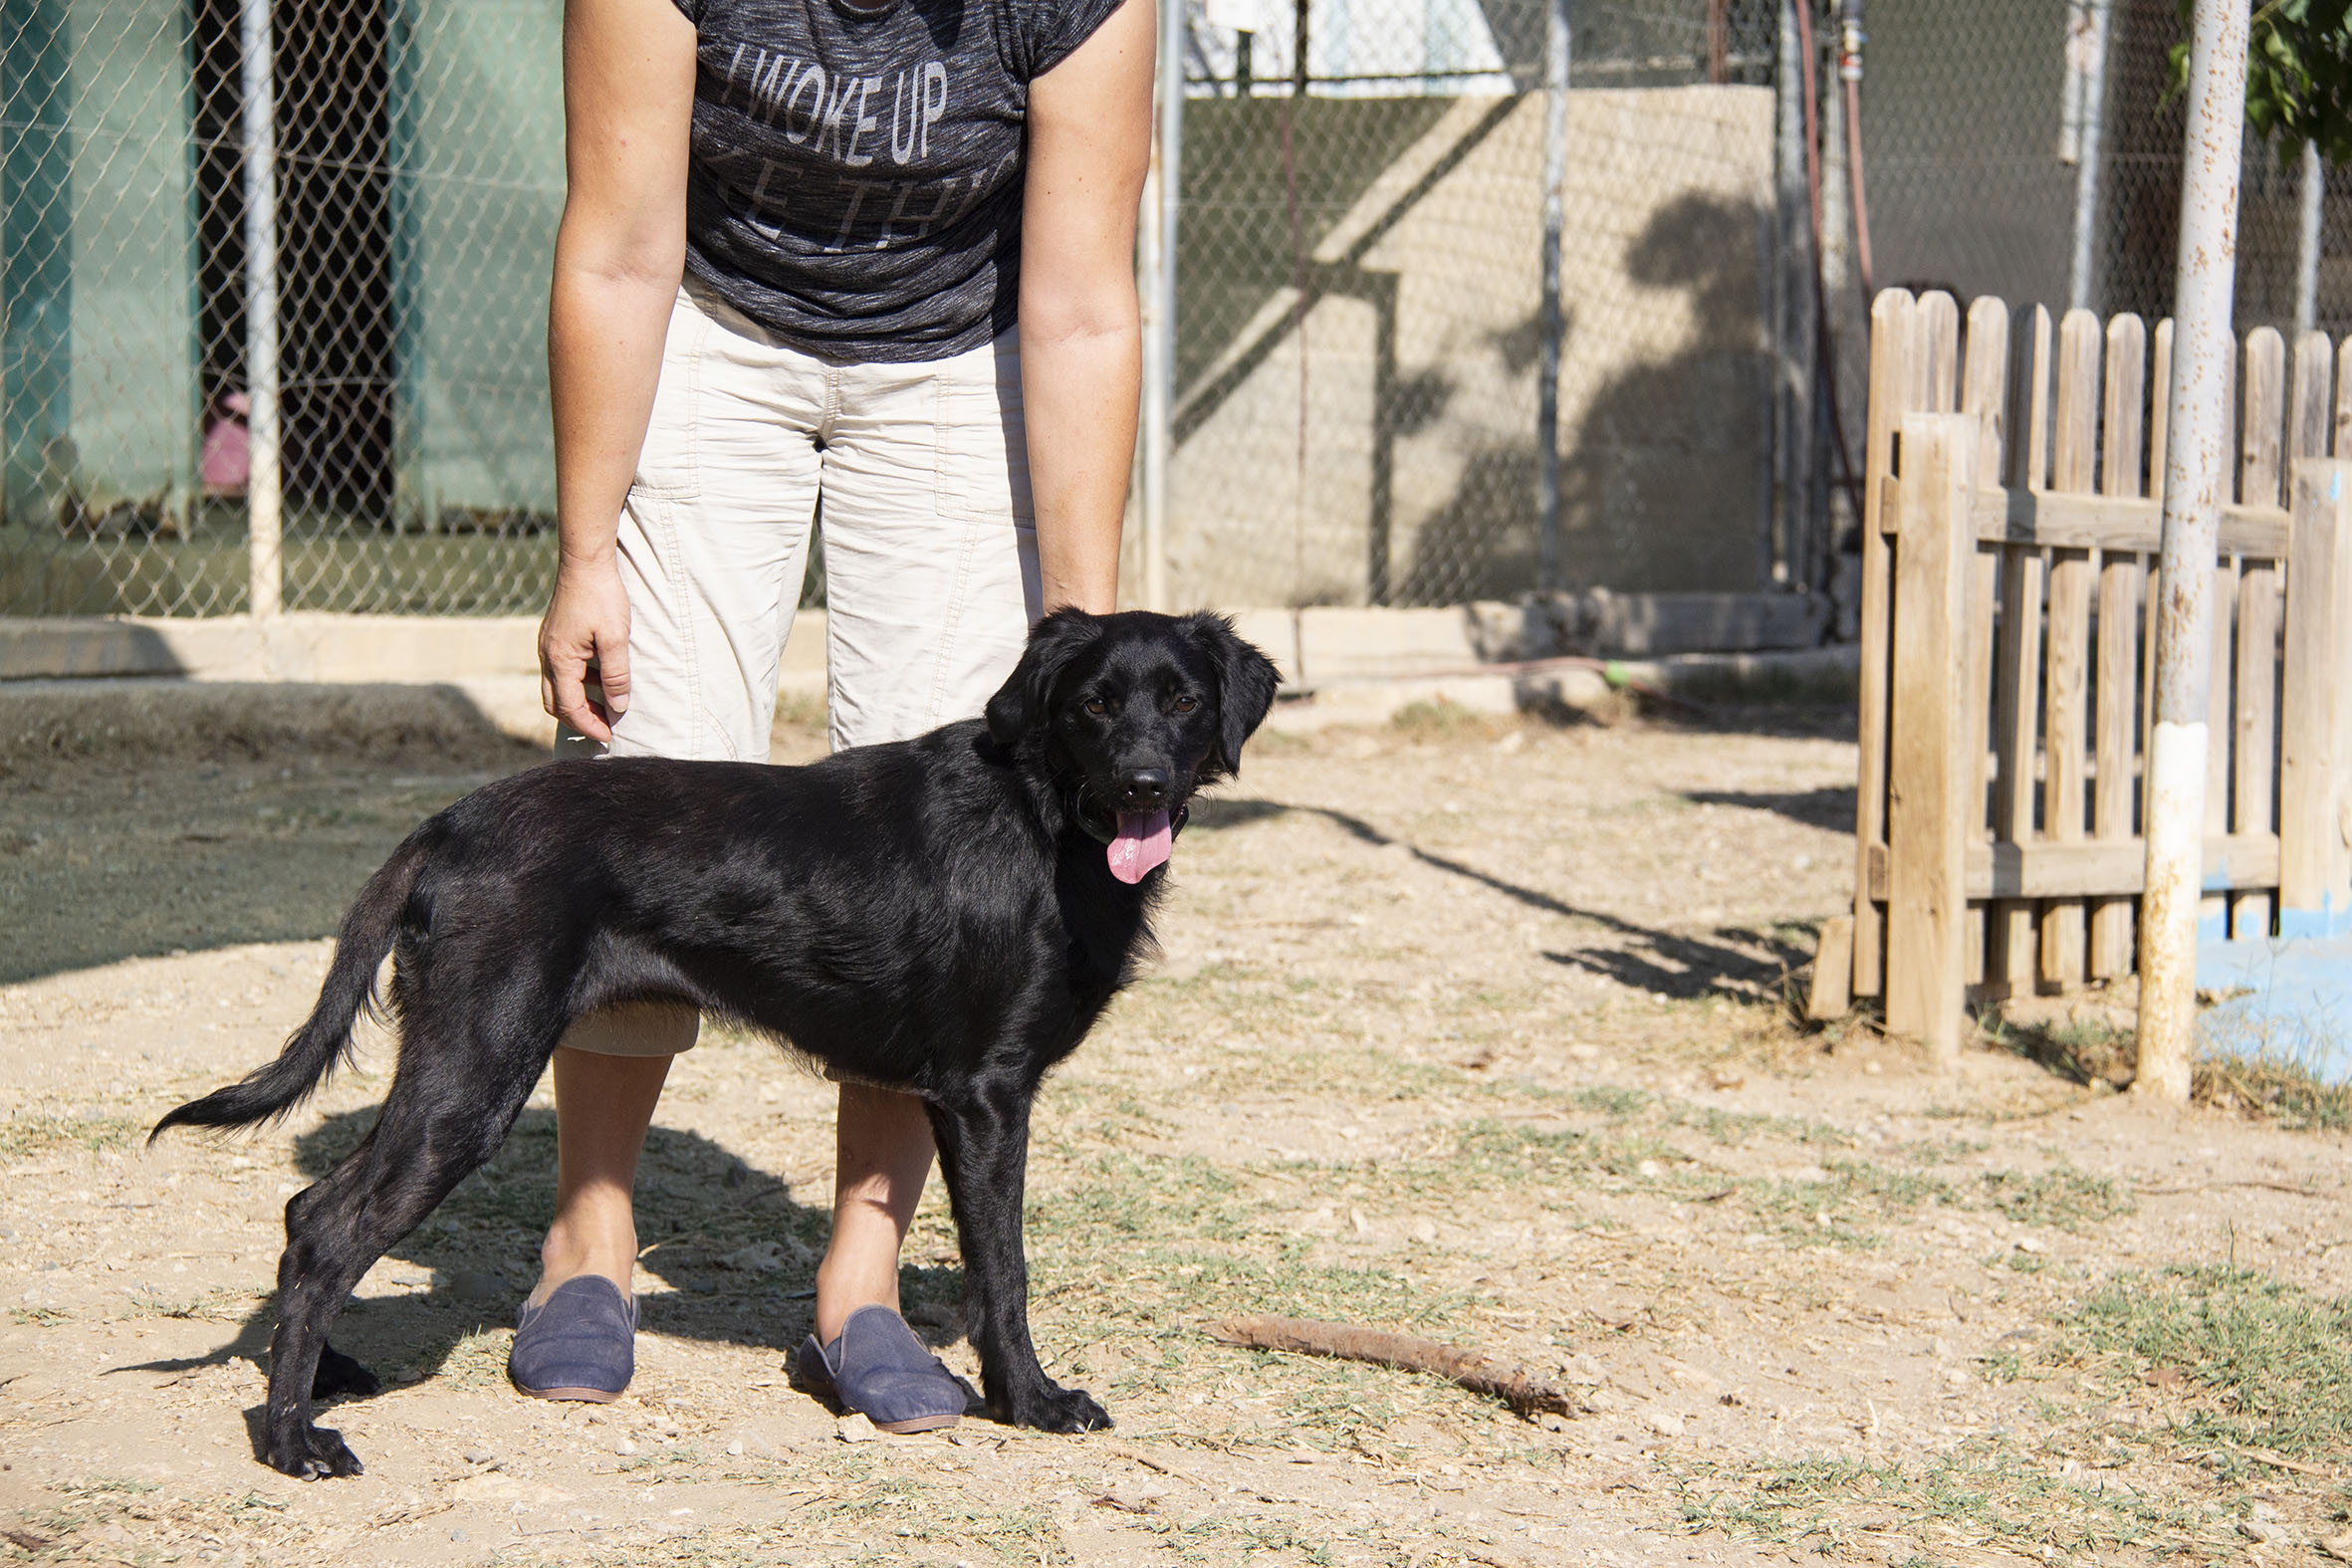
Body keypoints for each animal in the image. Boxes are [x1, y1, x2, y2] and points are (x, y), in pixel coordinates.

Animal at [153, 609, 1281, 1478]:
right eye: (1093, 703)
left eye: (1183, 702)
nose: (1142, 784)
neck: (1045, 815)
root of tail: (450, 822)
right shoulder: (989, 1094)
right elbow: (1002, 1268)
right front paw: (1034, 1402)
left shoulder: (950, 1092)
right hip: (473, 1071)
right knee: (328, 1230)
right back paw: (292, 1440)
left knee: (308, 1208)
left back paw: (325, 1379)